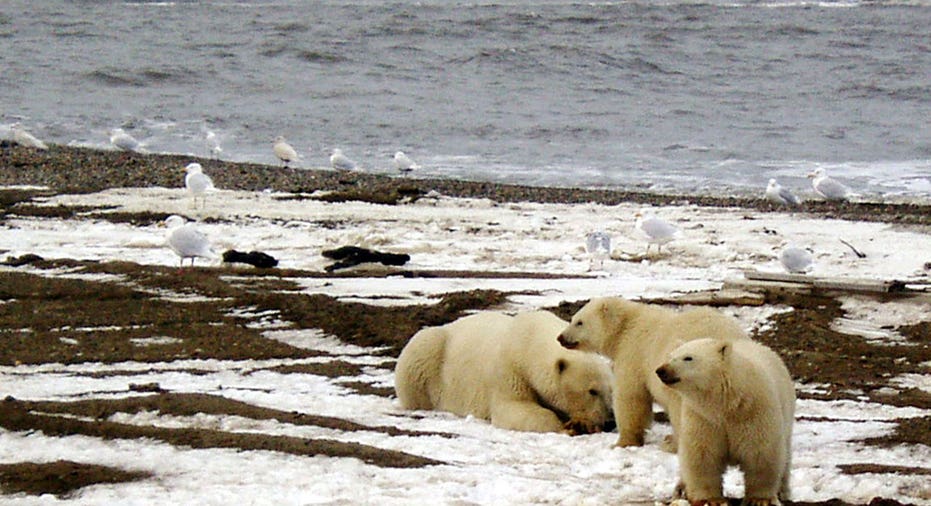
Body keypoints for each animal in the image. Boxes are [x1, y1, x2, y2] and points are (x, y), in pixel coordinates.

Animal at [396, 310, 616, 432]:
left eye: (610, 391)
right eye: (592, 391)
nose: (610, 421)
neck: (529, 341)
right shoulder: (509, 370)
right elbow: (513, 408)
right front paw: (567, 427)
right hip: (429, 354)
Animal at [556, 296, 748, 446]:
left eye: (579, 322)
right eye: (573, 318)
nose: (560, 337)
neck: (626, 326)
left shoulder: (634, 353)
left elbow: (631, 396)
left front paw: (623, 442)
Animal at [656, 336, 792, 506]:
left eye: (688, 357)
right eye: (670, 356)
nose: (661, 370)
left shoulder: (755, 412)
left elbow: (760, 452)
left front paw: (759, 499)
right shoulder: (703, 418)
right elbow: (702, 454)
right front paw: (712, 500)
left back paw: (782, 491)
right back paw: (680, 490)